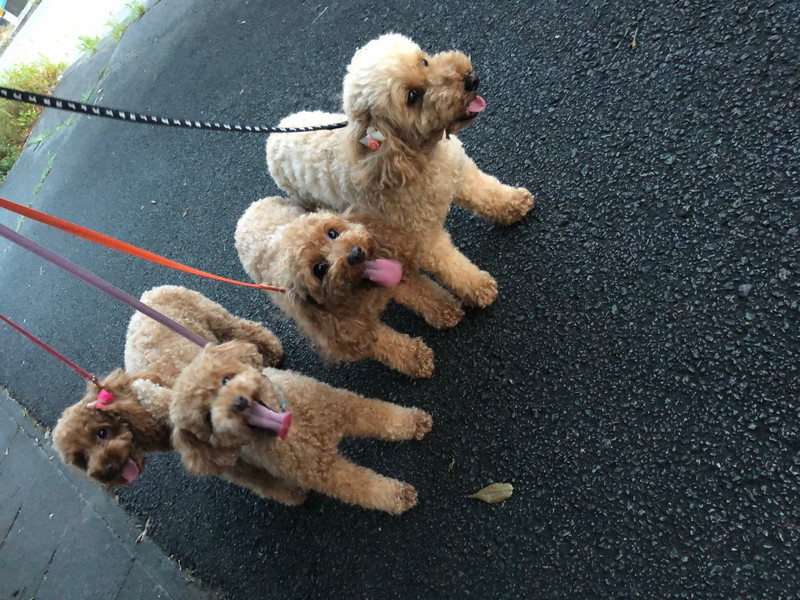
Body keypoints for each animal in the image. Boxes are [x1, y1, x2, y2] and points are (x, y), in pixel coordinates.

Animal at [51, 286, 307, 505]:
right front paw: (292, 494)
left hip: (212, 314)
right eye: (82, 459)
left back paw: (271, 351)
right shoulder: (227, 460)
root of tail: (148, 294)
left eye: (102, 433)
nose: (106, 470)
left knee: (244, 328)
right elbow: (261, 481)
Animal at [169, 339, 433, 514]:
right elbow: (364, 487)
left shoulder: (345, 408)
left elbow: (382, 416)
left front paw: (416, 422)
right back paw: (294, 495)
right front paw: (400, 496)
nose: (238, 403)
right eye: (207, 418)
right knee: (264, 484)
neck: (293, 423)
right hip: (239, 469)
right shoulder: (325, 472)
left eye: (225, 379)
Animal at [235, 196, 464, 378]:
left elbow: (421, 293)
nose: (355, 254)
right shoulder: (348, 328)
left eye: (332, 233)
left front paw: (445, 309)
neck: (363, 292)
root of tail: (245, 214)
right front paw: (416, 357)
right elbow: (386, 343)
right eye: (319, 269)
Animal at [266, 33, 534, 309]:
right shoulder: (424, 240)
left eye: (424, 61)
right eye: (412, 96)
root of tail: (275, 133)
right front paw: (479, 288)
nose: (471, 79)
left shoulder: (461, 174)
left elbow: (487, 193)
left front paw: (514, 204)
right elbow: (452, 267)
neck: (418, 159)